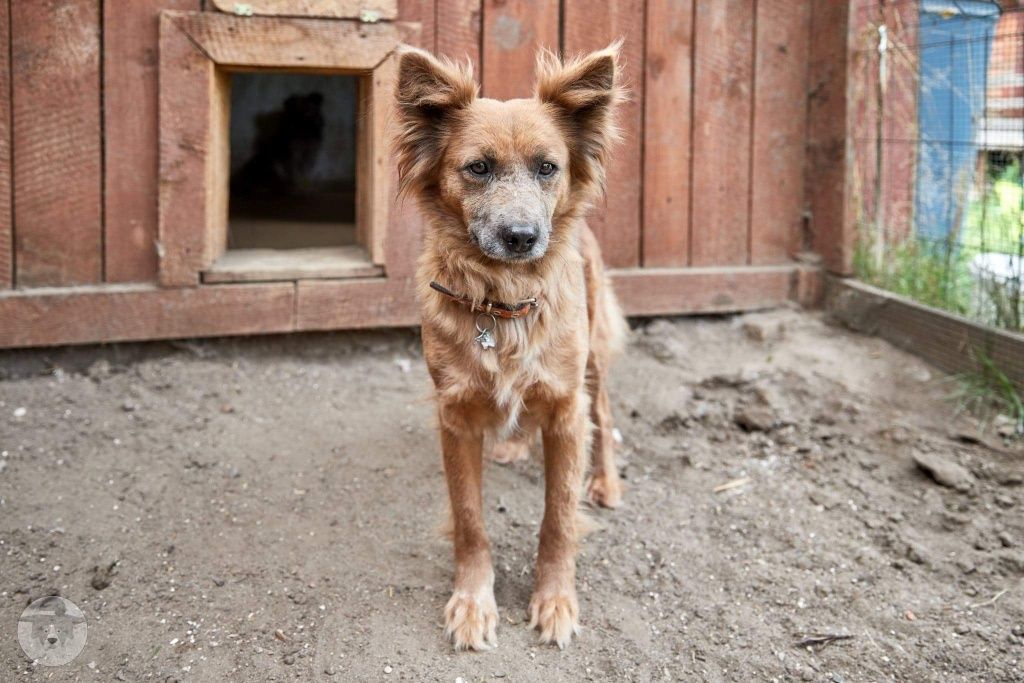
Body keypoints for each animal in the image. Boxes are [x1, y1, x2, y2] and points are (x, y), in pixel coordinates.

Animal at [395, 40, 626, 651]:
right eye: (478, 167)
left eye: (548, 167)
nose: (522, 237)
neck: (503, 304)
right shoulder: (455, 416)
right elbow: (470, 520)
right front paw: (473, 604)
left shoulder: (567, 411)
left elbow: (558, 518)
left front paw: (555, 601)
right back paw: (516, 444)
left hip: (593, 358)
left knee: (604, 413)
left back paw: (606, 480)